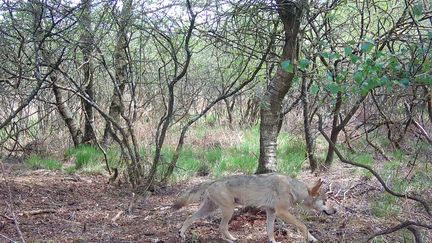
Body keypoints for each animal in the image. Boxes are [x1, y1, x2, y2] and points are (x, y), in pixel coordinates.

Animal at [174, 174, 336, 242]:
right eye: (325, 200)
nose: (335, 211)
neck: (292, 188)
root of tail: (212, 181)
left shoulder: (271, 212)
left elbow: (270, 231)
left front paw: (273, 242)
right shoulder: (282, 212)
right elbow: (303, 226)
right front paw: (312, 239)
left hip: (209, 209)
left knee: (189, 218)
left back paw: (182, 234)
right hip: (228, 210)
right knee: (221, 227)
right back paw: (231, 240)